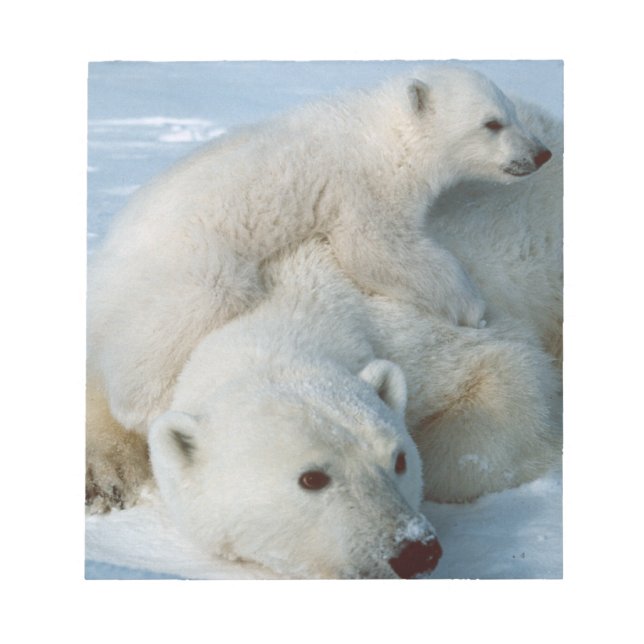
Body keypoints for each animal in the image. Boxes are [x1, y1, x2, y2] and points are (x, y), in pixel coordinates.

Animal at [87, 66, 553, 434]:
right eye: (491, 123)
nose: (541, 154)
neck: (384, 133)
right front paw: (473, 307)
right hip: (188, 263)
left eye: (512, 113)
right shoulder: (364, 184)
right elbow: (376, 248)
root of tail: (104, 264)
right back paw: (148, 406)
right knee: (183, 317)